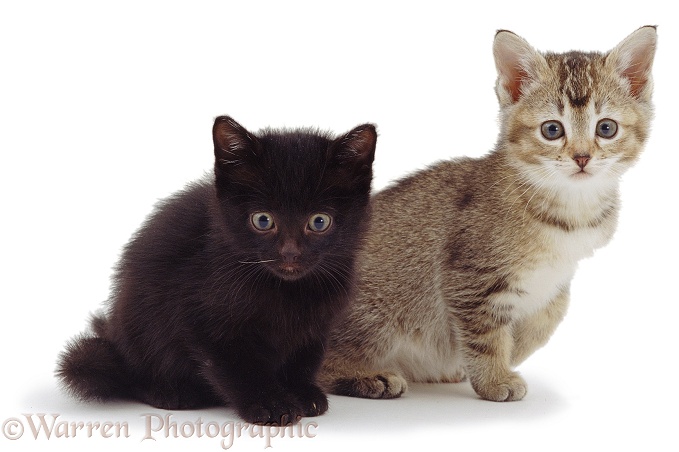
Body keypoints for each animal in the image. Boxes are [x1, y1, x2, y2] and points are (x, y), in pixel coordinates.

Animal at [56, 115, 378, 424]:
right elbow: (237, 366)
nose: (290, 253)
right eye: (263, 220)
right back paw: (169, 391)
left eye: (319, 221)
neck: (287, 291)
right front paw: (270, 403)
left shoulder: (318, 324)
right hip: (139, 323)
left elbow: (304, 358)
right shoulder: (200, 319)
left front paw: (303, 394)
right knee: (133, 374)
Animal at [322, 26, 660, 402]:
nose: (582, 157)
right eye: (552, 130)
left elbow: (548, 315)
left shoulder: (556, 280)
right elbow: (487, 336)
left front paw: (501, 358)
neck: (568, 211)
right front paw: (494, 378)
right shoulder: (468, 277)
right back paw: (369, 377)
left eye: (606, 128)